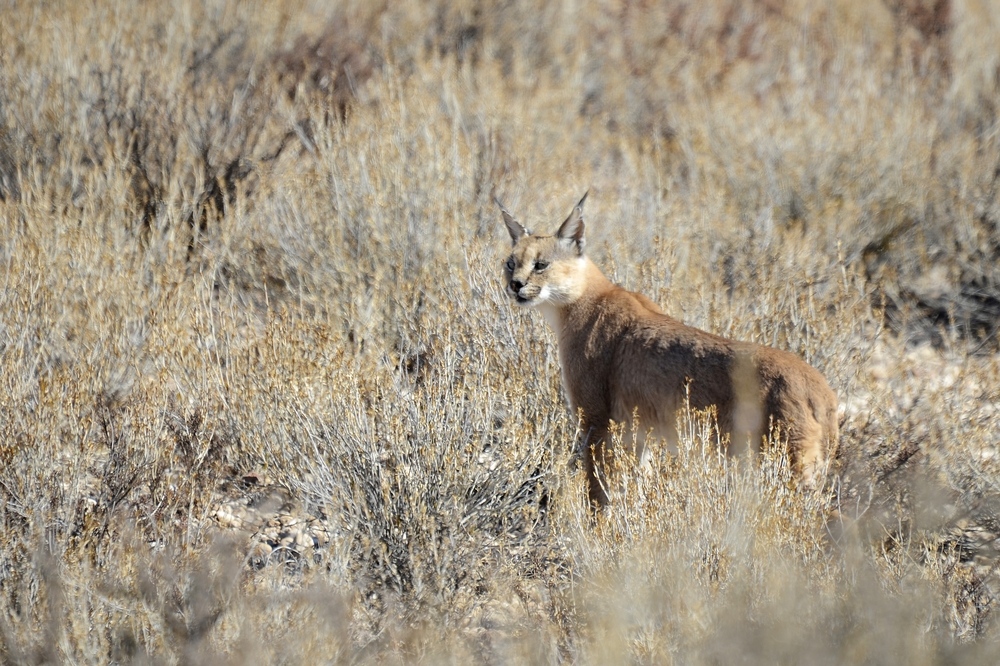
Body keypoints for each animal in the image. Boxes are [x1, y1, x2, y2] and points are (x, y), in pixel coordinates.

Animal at [498, 192, 836, 504]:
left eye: (541, 265)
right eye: (510, 263)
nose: (515, 285)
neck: (577, 301)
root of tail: (821, 386)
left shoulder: (595, 421)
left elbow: (598, 490)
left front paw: (600, 527)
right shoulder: (636, 433)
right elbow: (635, 484)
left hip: (786, 463)